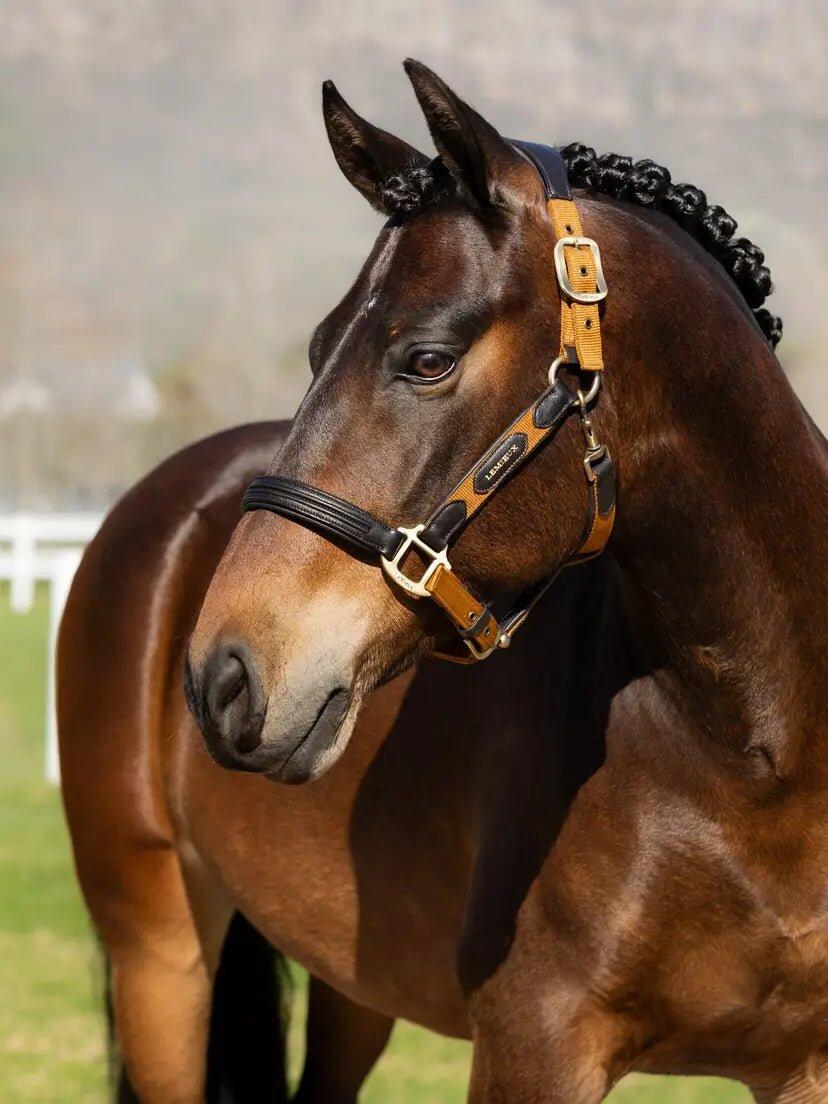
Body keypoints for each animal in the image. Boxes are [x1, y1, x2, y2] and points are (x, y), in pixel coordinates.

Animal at [58, 59, 827, 1103]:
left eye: (427, 358)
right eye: (316, 349)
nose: (224, 678)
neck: (760, 758)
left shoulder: (802, 1064)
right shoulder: (531, 1045)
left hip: (353, 984)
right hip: (159, 956)